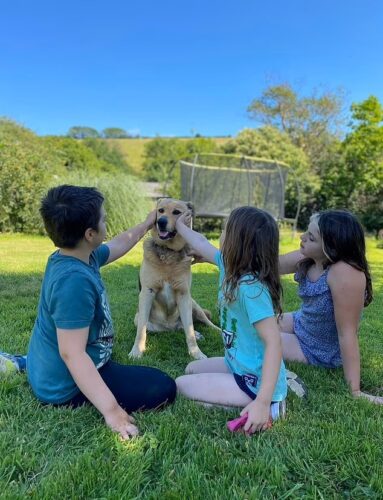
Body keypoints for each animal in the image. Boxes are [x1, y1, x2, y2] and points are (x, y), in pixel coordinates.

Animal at [129, 197, 219, 358]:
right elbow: (141, 331)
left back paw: (214, 332)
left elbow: (189, 331)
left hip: (193, 304)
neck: (168, 251)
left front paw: (196, 353)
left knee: (201, 323)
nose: (161, 222)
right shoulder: (147, 293)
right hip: (138, 317)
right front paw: (137, 351)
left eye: (177, 212)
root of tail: (169, 328)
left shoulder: (184, 295)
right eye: (160, 210)